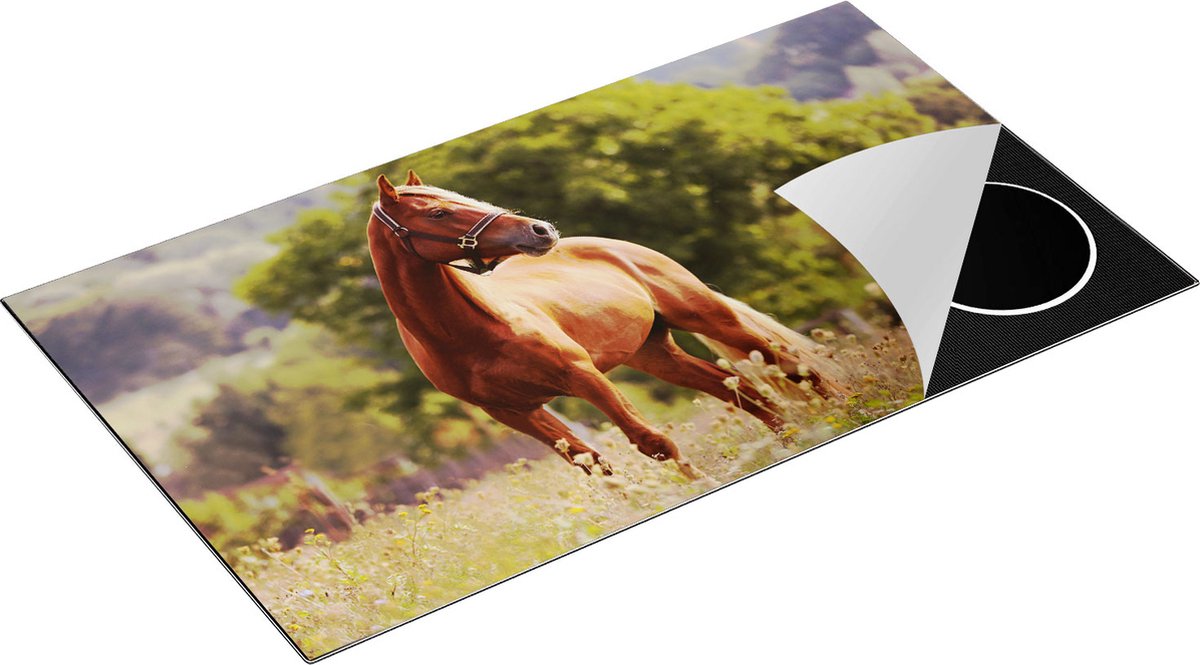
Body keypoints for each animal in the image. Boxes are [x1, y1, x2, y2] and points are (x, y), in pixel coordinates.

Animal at [367, 170, 847, 479]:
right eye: (438, 214)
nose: (540, 230)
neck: (469, 337)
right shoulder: (517, 413)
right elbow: (593, 466)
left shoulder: (583, 376)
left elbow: (651, 441)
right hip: (654, 353)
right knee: (737, 388)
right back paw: (794, 437)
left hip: (709, 316)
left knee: (790, 365)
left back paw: (845, 408)